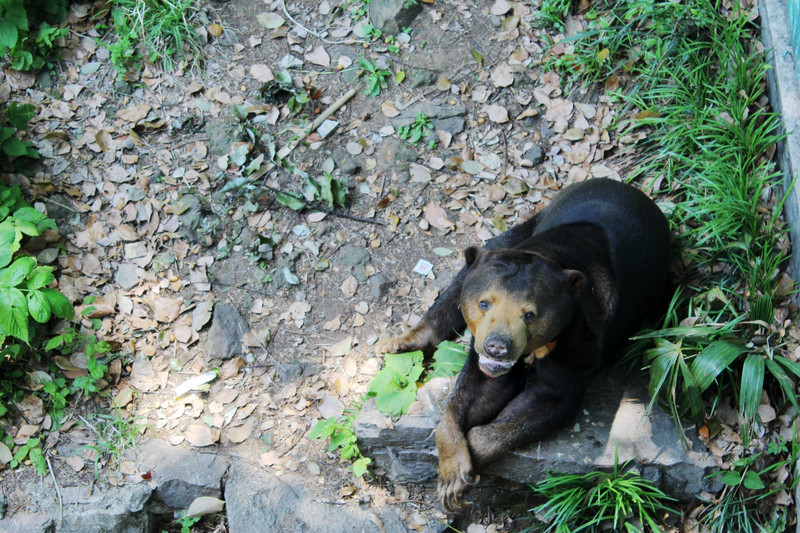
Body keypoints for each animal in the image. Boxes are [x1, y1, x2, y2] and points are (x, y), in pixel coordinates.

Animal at [378, 179, 672, 512]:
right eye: (484, 304)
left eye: (530, 315)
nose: (497, 347)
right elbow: (472, 392)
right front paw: (452, 475)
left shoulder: (581, 344)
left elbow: (547, 400)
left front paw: (464, 474)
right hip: (507, 237)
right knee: (458, 283)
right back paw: (399, 344)